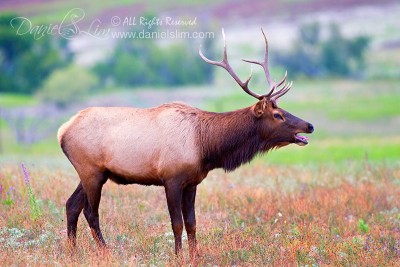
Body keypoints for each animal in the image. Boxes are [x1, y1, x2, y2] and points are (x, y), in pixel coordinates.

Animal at [58, 28, 312, 262]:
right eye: (277, 115)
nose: (309, 126)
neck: (206, 146)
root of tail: (62, 130)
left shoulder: (192, 182)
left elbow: (192, 222)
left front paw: (195, 255)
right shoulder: (171, 178)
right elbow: (176, 223)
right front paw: (179, 256)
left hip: (94, 173)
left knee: (72, 205)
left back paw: (72, 251)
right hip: (91, 171)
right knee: (91, 212)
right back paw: (105, 251)